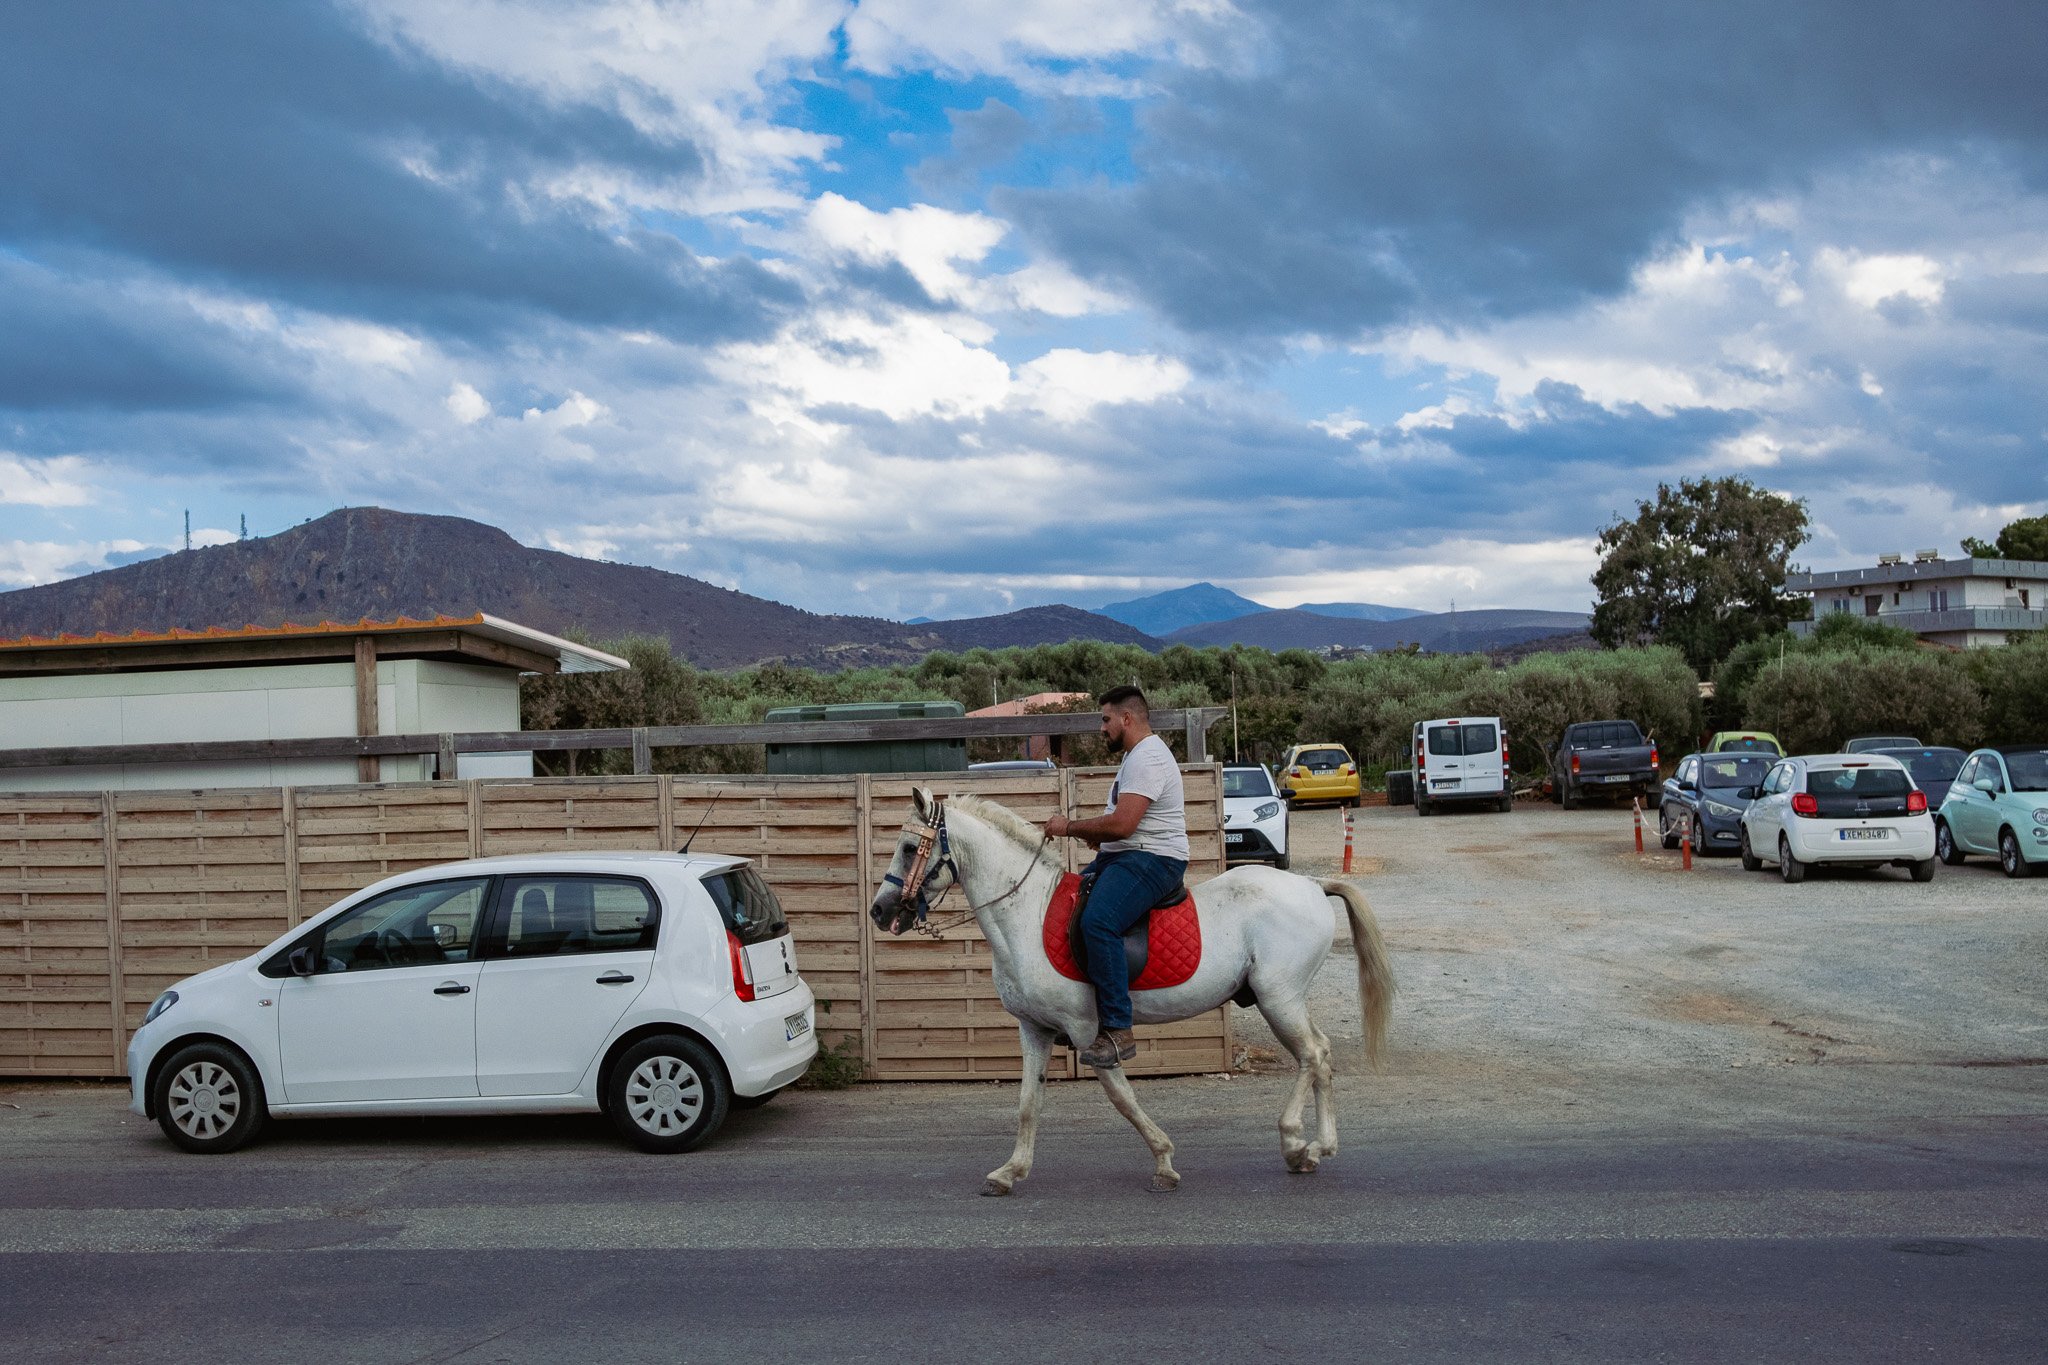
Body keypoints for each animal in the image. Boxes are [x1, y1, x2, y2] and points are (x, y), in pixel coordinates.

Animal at [869, 788, 1396, 1195]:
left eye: (908, 848)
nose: (880, 910)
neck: (1027, 913)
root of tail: (1311, 884)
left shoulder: (1088, 1033)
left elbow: (1122, 1098)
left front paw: (1163, 1162)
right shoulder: (1035, 1030)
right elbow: (1027, 1104)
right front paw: (1009, 1172)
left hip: (1278, 998)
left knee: (1312, 1055)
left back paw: (1295, 1144)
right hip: (1285, 999)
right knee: (1321, 1054)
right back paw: (1319, 1147)